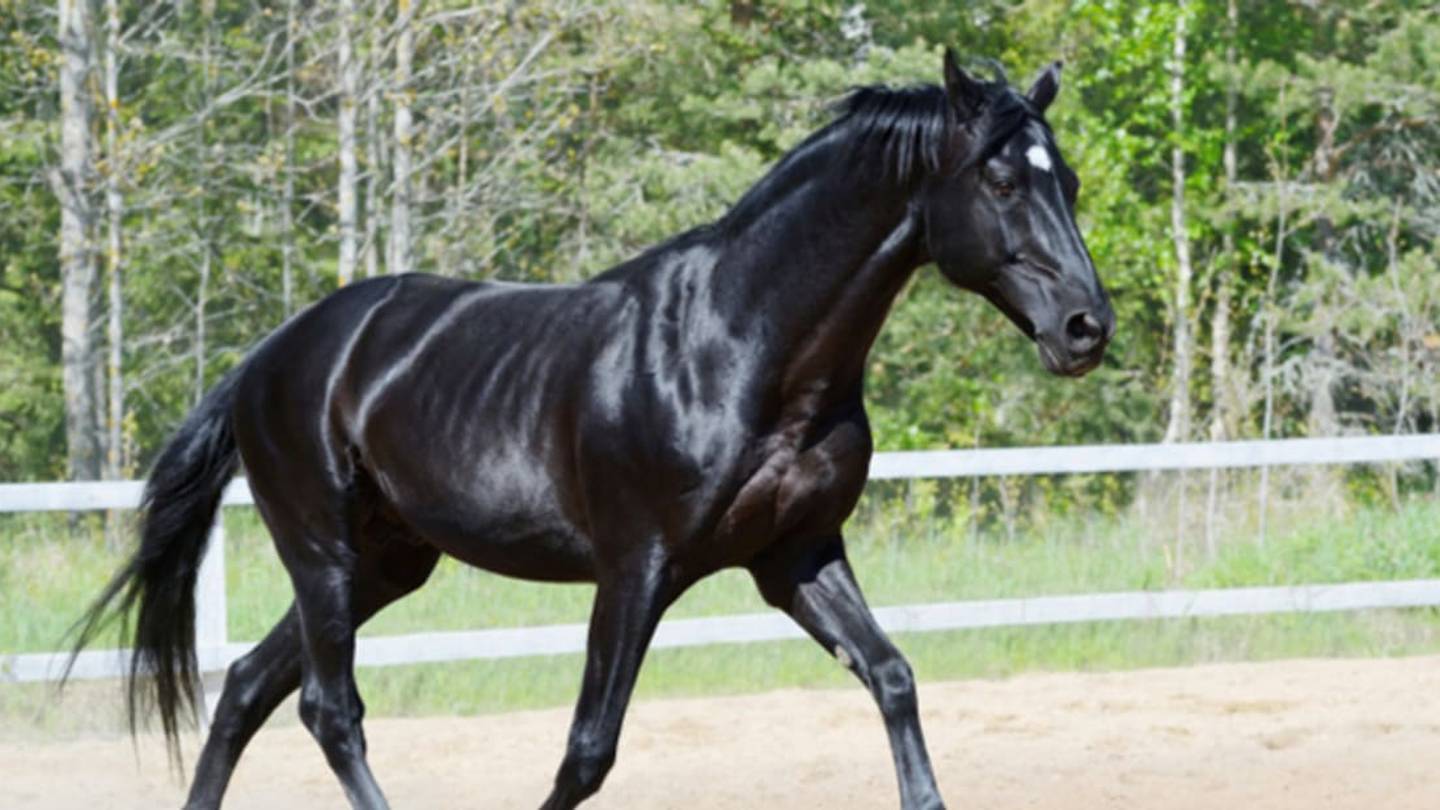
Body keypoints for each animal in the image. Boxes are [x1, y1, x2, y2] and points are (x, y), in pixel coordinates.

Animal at [68, 49, 1113, 809]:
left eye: (1065, 178)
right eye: (1000, 182)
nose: (1086, 327)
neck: (741, 346)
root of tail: (270, 356)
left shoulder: (795, 554)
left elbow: (894, 678)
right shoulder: (637, 567)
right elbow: (587, 751)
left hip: (386, 563)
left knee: (247, 687)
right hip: (322, 551)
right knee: (330, 710)